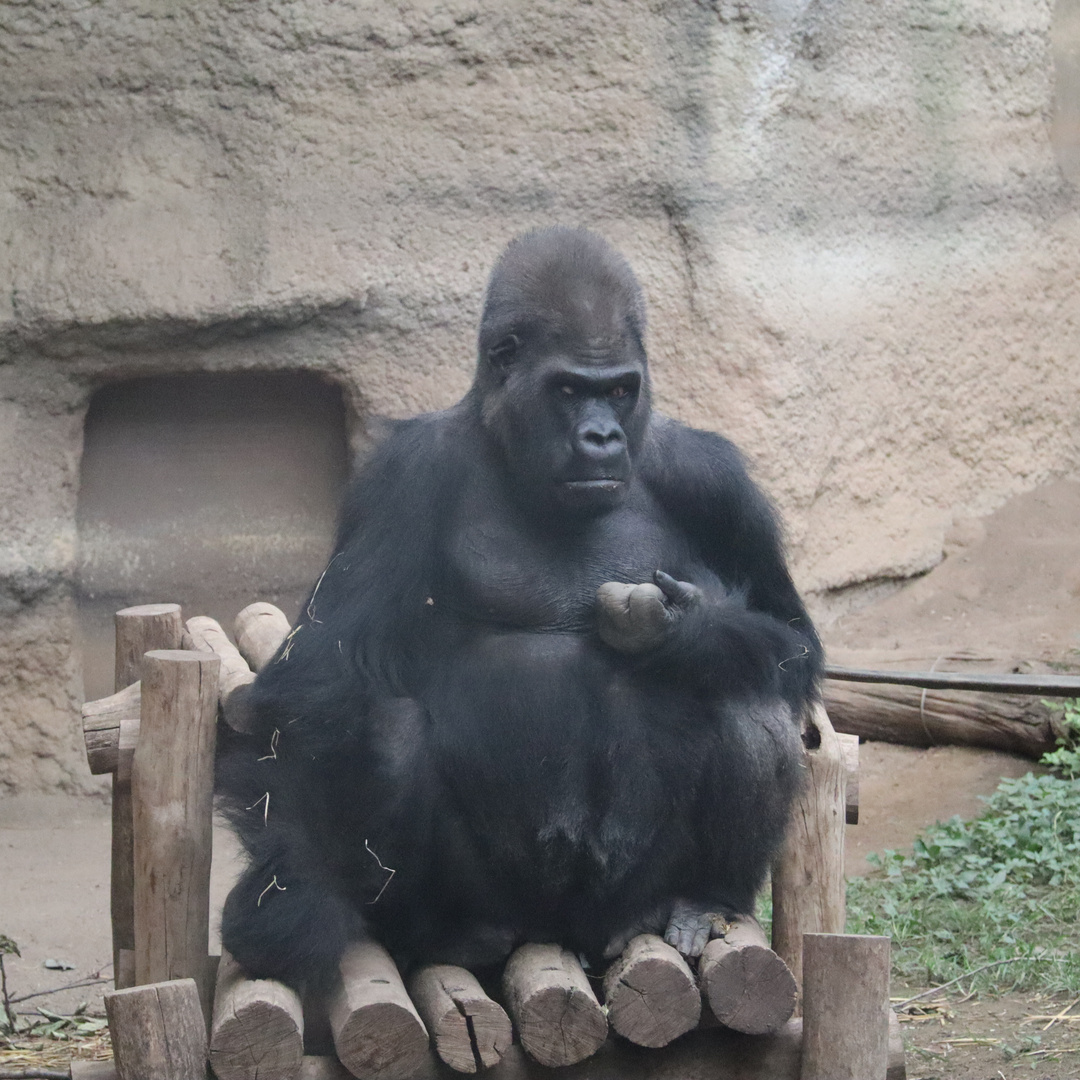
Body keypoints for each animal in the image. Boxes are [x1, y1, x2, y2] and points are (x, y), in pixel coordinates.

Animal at [217, 225, 816, 989]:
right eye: (567, 389)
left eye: (619, 390)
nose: (602, 437)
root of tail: (573, 934)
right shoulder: (401, 475)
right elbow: (316, 679)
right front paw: (292, 896)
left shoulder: (714, 477)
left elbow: (792, 638)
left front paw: (684, 631)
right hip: (507, 902)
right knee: (388, 731)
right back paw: (443, 932)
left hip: (633, 895)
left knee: (747, 691)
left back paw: (704, 898)